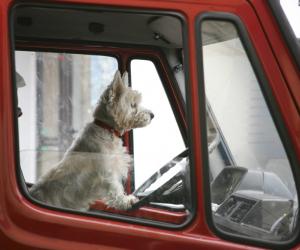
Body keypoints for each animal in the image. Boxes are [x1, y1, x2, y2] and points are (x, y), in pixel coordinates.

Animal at [29, 71, 154, 211]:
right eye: (133, 105)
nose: (152, 115)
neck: (107, 128)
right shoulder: (107, 172)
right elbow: (115, 188)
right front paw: (125, 201)